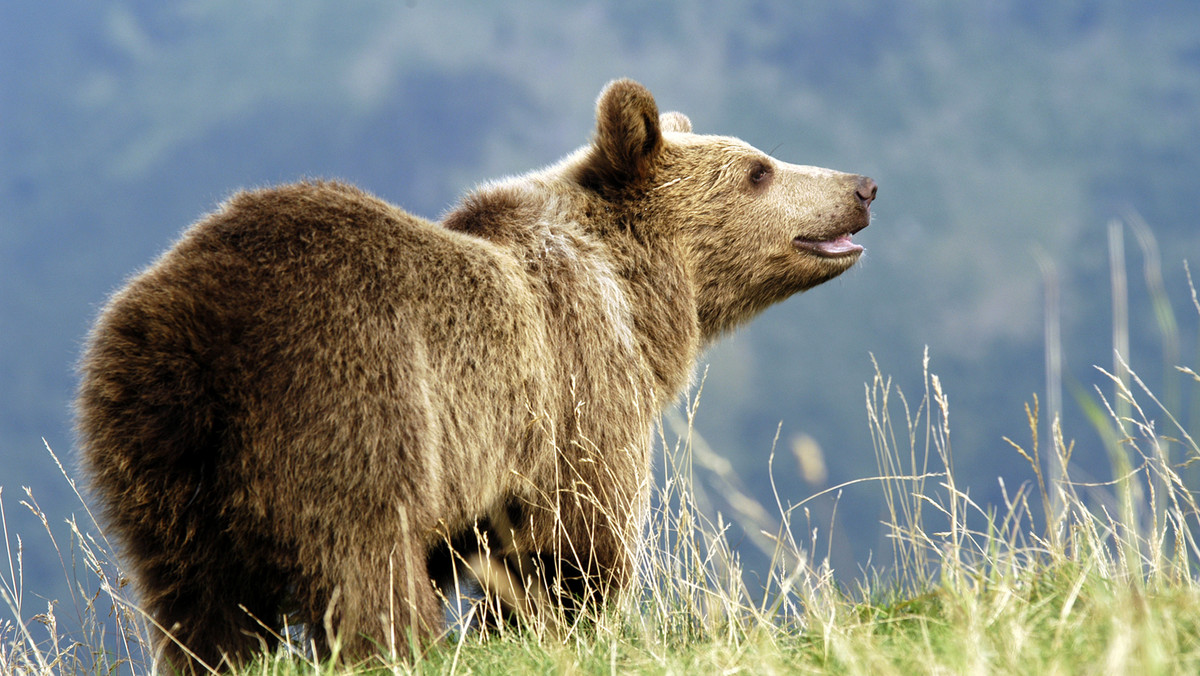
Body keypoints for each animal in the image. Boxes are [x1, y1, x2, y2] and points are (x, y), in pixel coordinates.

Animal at [75, 79, 878, 672]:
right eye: (759, 169)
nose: (862, 185)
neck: (640, 297)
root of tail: (194, 326)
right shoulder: (573, 386)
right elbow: (575, 537)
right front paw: (555, 621)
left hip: (151, 453)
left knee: (196, 599)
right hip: (349, 403)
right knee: (366, 562)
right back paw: (407, 648)